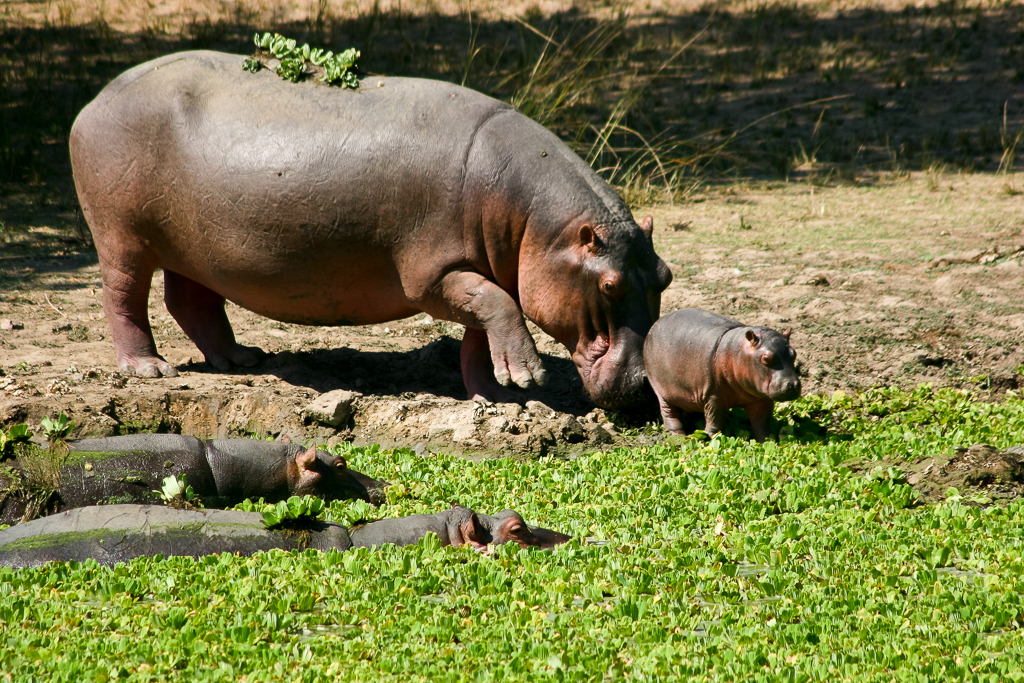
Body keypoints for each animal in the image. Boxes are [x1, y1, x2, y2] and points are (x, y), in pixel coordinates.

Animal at [74, 52, 679, 411]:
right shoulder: (432, 275)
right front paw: (528, 379)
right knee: (124, 295)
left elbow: (483, 323)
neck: (537, 224)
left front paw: (492, 394)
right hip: (123, 237)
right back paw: (148, 368)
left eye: (666, 276)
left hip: (196, 247)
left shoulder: (473, 266)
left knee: (191, 300)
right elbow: (499, 306)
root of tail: (100, 95)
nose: (644, 387)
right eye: (609, 285)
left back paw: (242, 359)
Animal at [647, 309, 798, 444]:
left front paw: (768, 442)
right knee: (669, 415)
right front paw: (710, 438)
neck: (736, 351)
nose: (793, 385)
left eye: (794, 353)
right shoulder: (713, 395)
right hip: (662, 392)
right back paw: (679, 437)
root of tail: (656, 323)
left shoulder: (761, 398)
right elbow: (715, 421)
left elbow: (762, 424)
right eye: (766, 358)